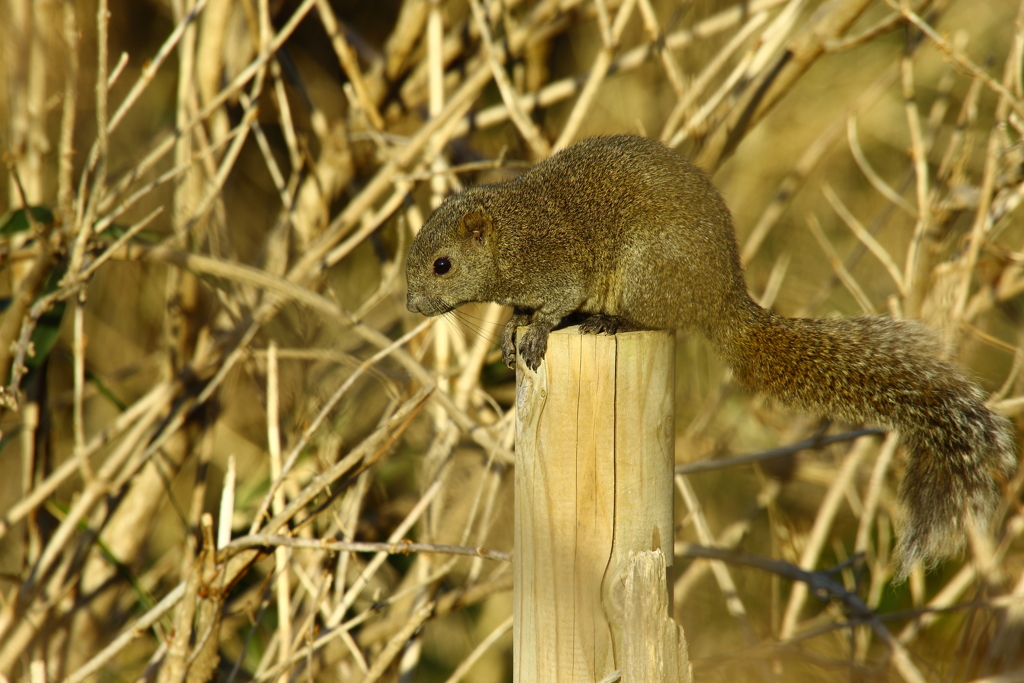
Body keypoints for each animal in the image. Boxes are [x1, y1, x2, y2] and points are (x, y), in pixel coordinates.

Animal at [405, 135, 1015, 581]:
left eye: (442, 265)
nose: (411, 306)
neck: (512, 234)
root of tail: (721, 294)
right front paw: (511, 331)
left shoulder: (559, 265)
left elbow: (555, 303)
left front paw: (533, 331)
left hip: (648, 270)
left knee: (658, 318)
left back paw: (610, 321)